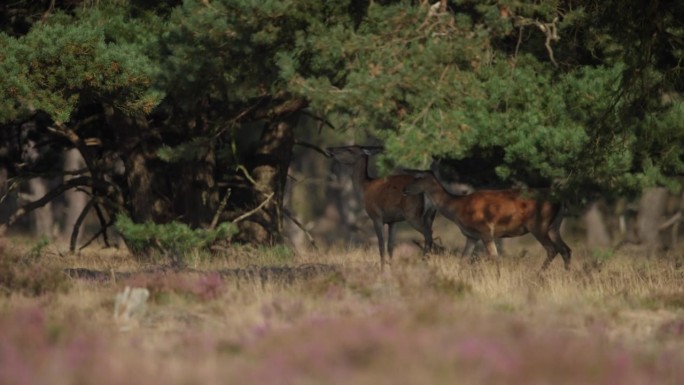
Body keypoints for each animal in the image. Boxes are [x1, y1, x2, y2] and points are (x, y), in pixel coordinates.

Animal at [404, 171, 568, 270]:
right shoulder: (471, 236)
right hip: (554, 226)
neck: (459, 209)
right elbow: (463, 259)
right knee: (565, 249)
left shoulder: (485, 229)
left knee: (552, 249)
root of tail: (561, 201)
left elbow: (494, 258)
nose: (404, 190)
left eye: (418, 178)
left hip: (539, 224)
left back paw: (538, 275)